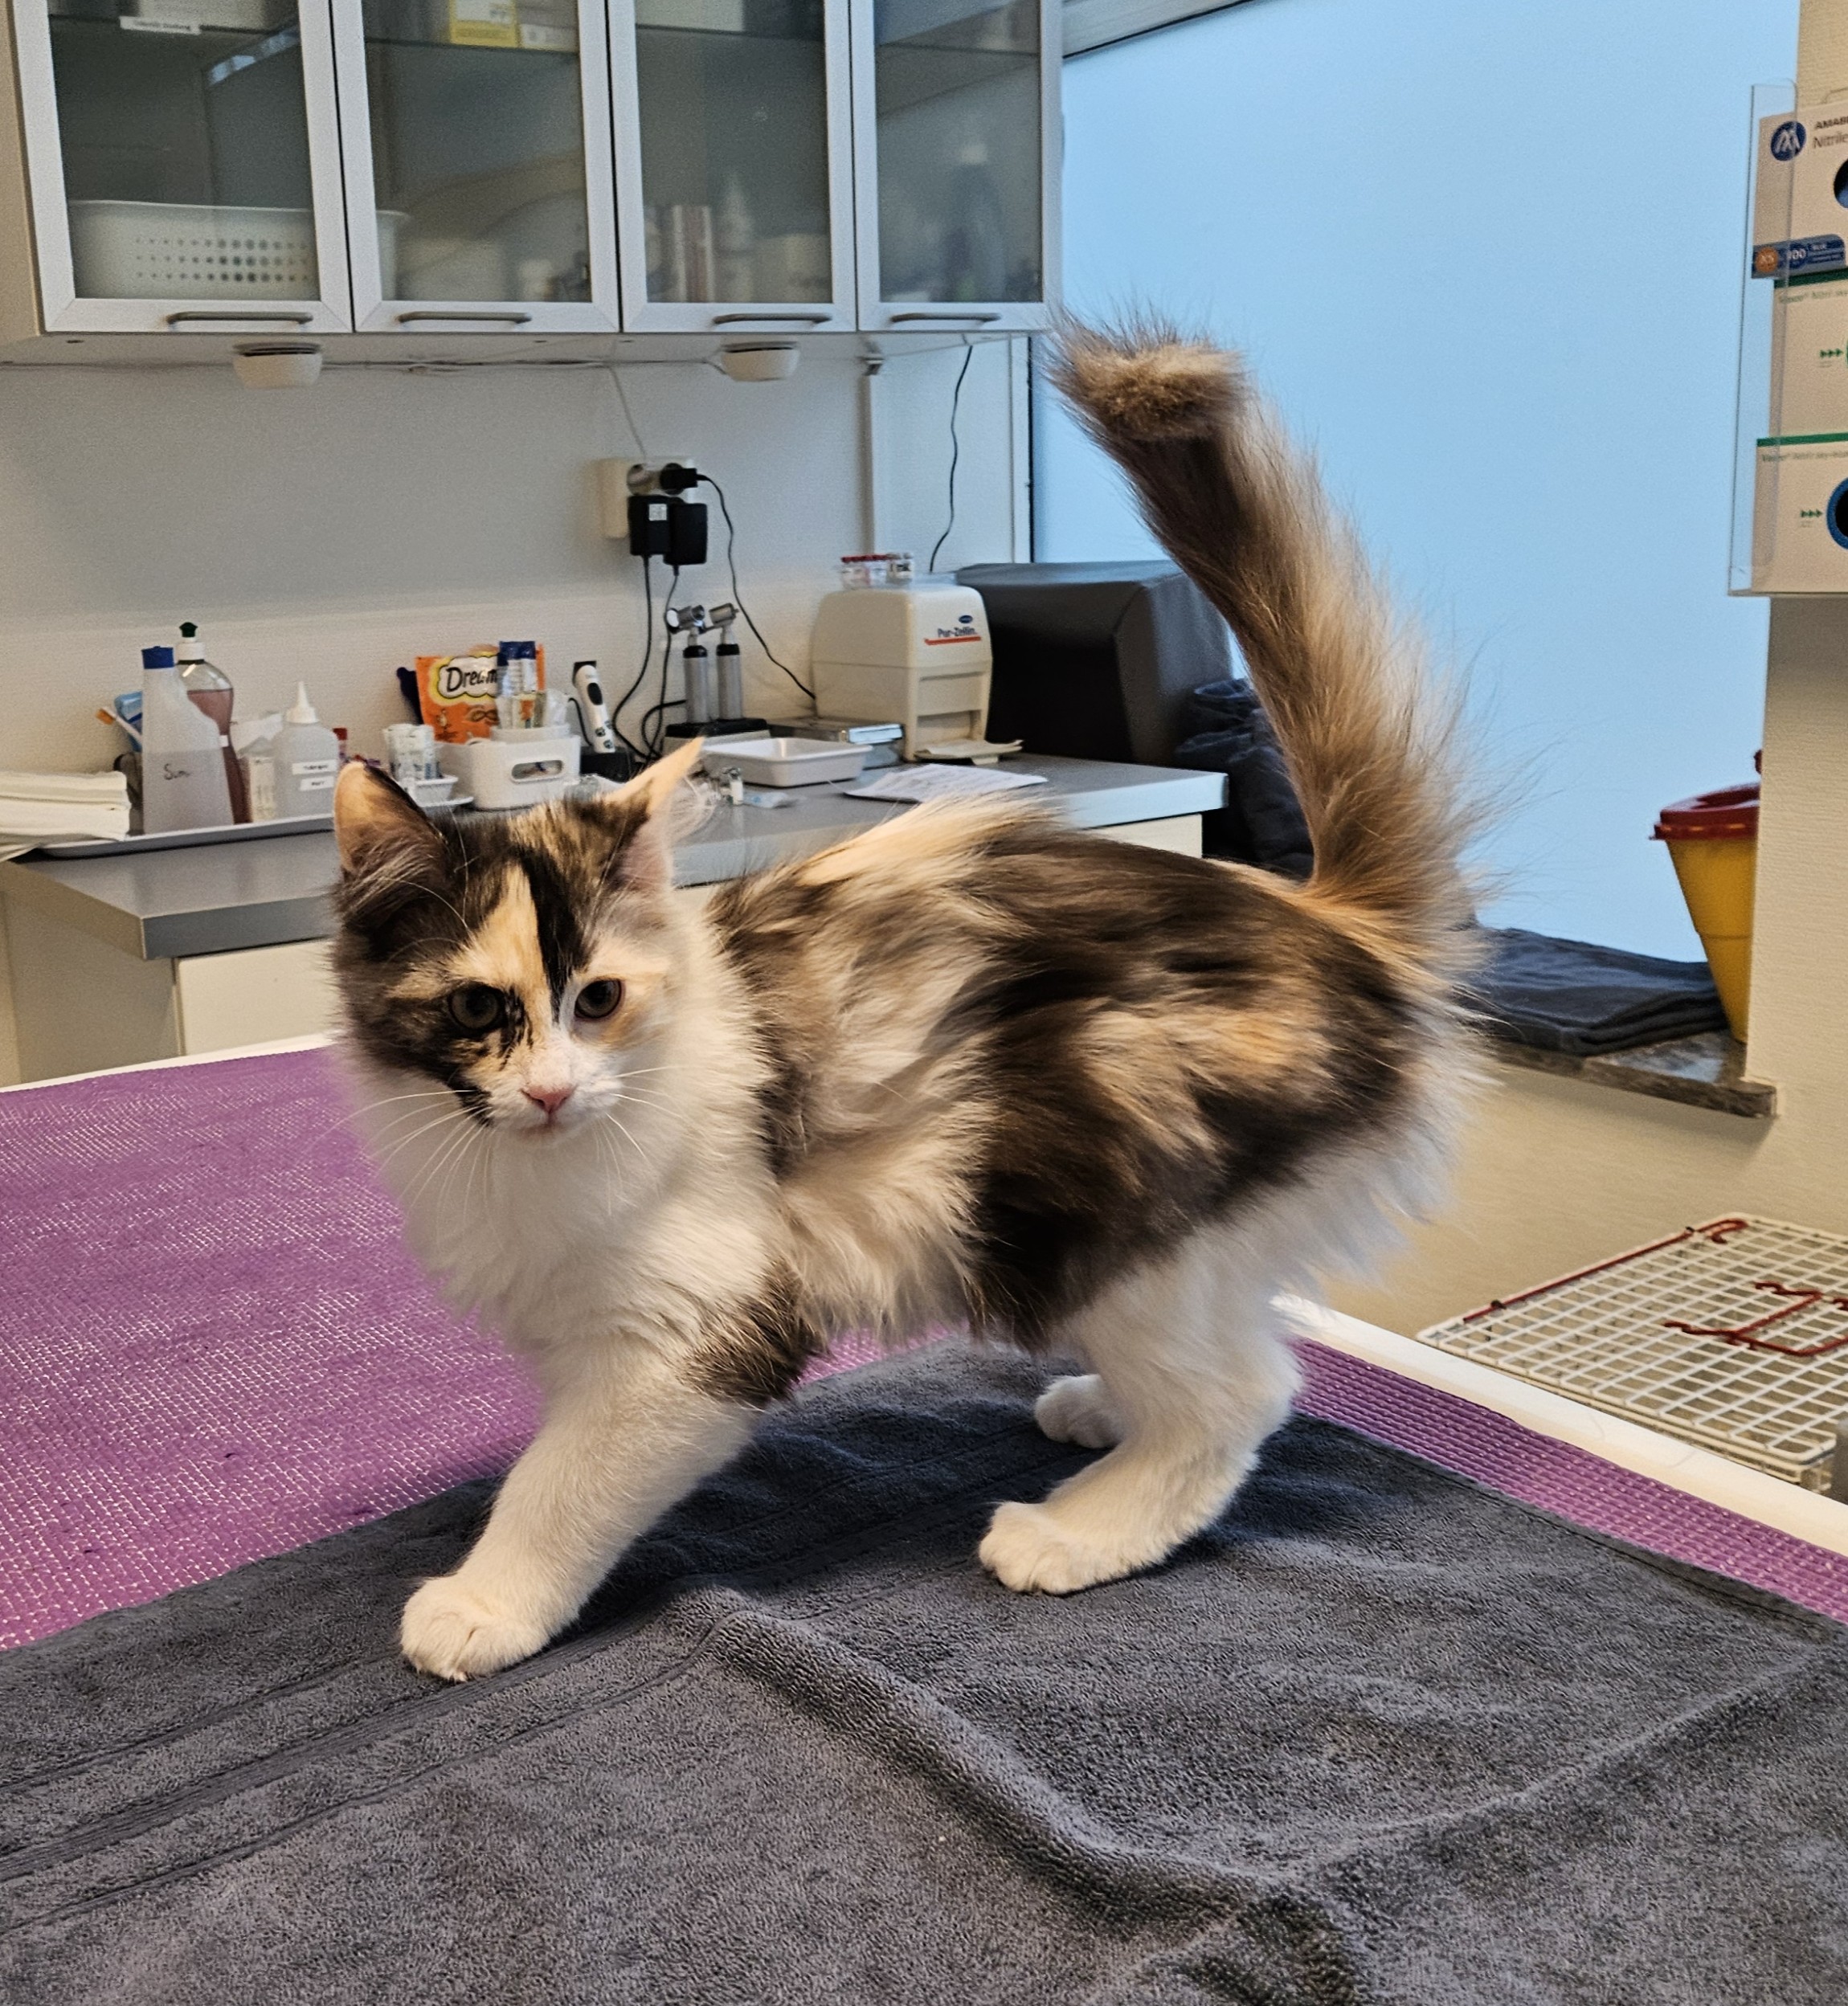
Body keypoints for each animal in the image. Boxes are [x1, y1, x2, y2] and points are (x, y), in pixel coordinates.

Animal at [331, 321, 1478, 1681]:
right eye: (478, 1013)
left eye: (598, 998)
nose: (555, 1093)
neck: (523, 1165)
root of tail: (1328, 919)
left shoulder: (692, 1335)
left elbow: (559, 1484)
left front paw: (485, 1601)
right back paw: (1100, 1410)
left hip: (1092, 1186)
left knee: (1242, 1397)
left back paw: (1078, 1530)